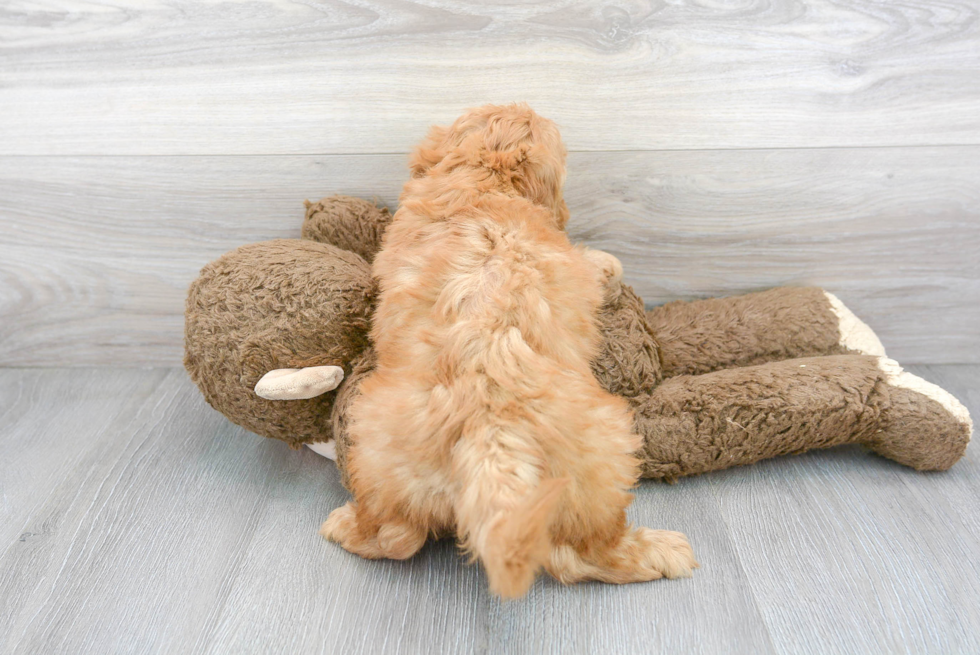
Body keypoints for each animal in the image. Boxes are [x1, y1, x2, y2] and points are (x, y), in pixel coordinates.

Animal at [322, 104, 696, 600]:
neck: (484, 179)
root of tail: (489, 427)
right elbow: (600, 266)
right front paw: (609, 265)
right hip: (601, 459)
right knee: (585, 555)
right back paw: (661, 551)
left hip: (380, 454)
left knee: (395, 536)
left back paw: (344, 527)